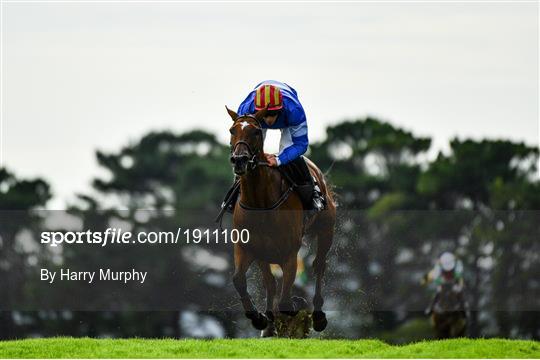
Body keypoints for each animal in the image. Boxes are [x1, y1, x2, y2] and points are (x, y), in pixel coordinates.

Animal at [226, 107, 336, 334]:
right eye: (232, 130)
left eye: (256, 132)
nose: (239, 160)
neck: (260, 203)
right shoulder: (247, 247)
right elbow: (239, 280)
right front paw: (259, 319)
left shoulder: (289, 253)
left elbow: (286, 300)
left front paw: (294, 308)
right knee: (270, 283)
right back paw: (268, 324)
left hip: (326, 229)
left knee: (319, 265)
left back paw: (318, 316)